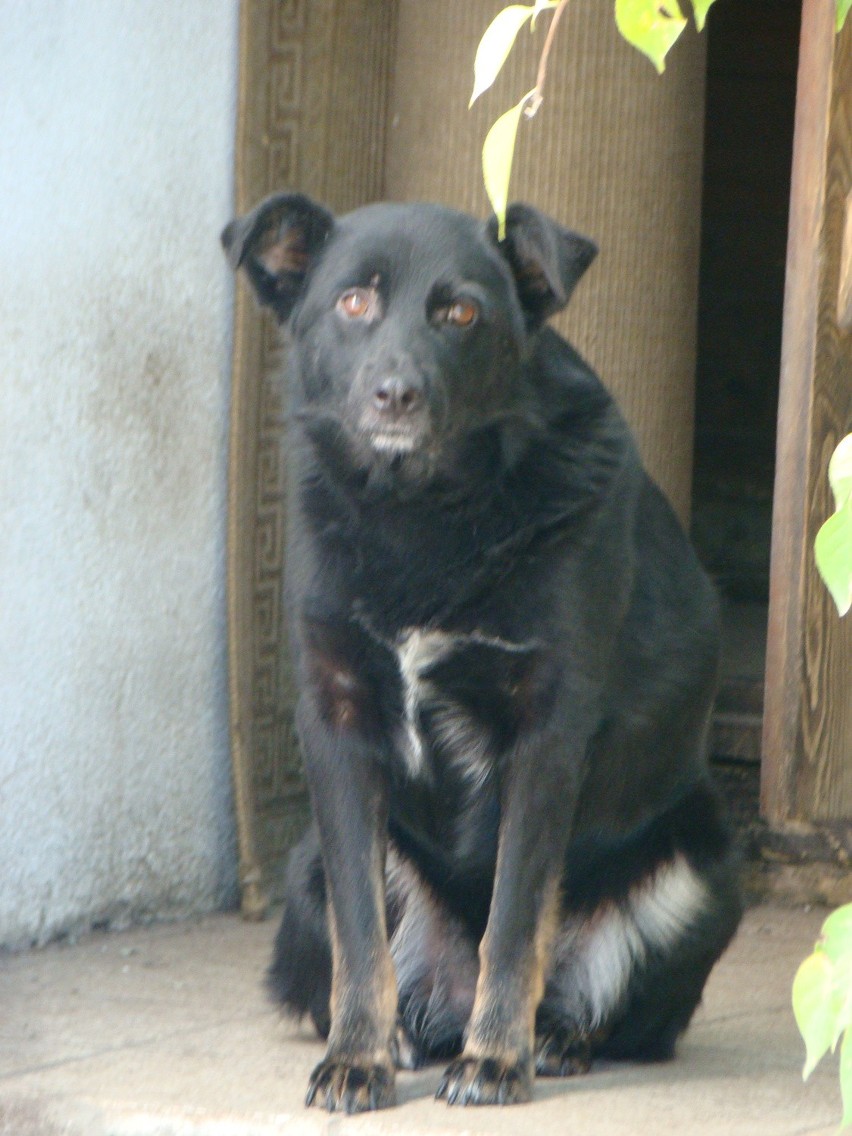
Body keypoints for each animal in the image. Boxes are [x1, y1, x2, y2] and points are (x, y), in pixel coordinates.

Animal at [221, 195, 740, 1108]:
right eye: (353, 302)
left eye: (460, 313)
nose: (397, 394)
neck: (422, 517)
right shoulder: (338, 725)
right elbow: (361, 937)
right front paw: (356, 1058)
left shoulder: (545, 736)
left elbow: (515, 923)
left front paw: (497, 1058)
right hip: (305, 864)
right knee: (367, 969)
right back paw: (399, 1037)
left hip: (704, 873)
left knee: (616, 1009)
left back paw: (551, 1038)